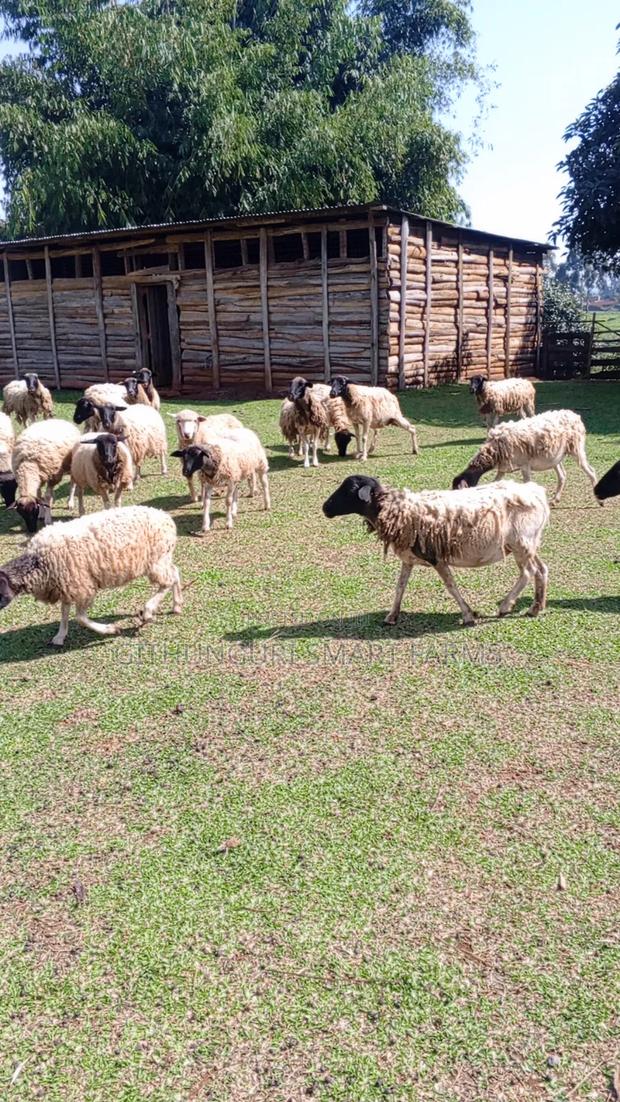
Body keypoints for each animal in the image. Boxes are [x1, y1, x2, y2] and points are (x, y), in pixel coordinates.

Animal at [0, 505, 182, 647]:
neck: (38, 562)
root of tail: (166, 518)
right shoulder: (66, 585)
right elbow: (64, 612)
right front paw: (60, 636)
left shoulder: (82, 586)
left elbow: (80, 618)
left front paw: (110, 629)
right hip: (162, 558)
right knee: (175, 573)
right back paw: (177, 605)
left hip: (156, 559)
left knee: (167, 581)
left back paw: (148, 612)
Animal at [323, 474, 550, 626]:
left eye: (349, 489)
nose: (325, 508)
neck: (398, 510)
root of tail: (537, 493)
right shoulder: (408, 558)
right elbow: (400, 587)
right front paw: (392, 616)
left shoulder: (436, 557)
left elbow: (451, 586)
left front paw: (468, 615)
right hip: (528, 543)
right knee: (541, 569)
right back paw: (536, 607)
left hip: (521, 541)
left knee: (528, 572)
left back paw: (506, 606)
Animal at [452, 410, 598, 506]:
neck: (494, 451)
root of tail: (575, 416)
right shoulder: (503, 468)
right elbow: (495, 482)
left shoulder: (524, 465)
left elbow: (527, 483)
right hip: (555, 457)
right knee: (562, 475)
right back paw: (555, 500)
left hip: (577, 448)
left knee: (590, 471)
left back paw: (599, 501)